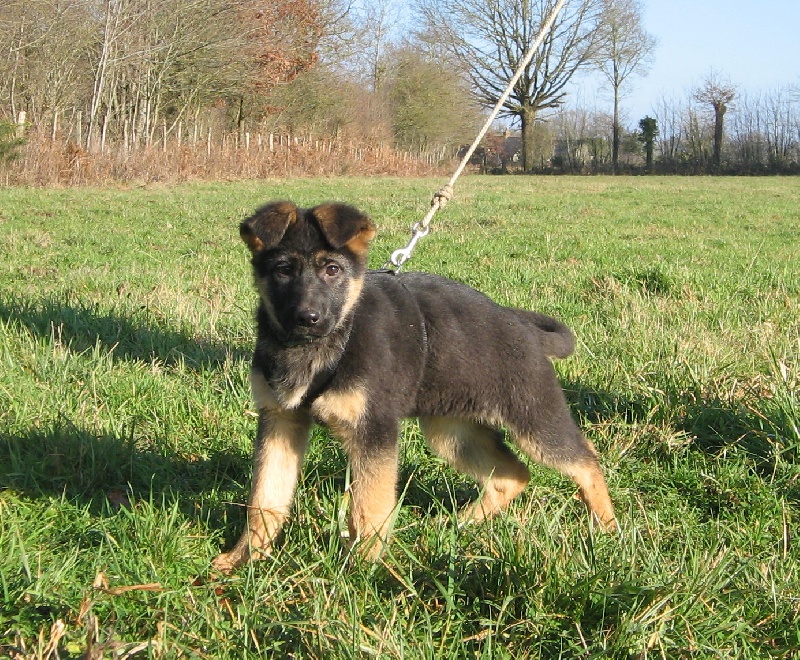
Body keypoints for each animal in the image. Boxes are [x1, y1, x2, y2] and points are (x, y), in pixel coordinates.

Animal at [212, 201, 617, 573]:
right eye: (283, 270)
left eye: (332, 269)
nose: (307, 318)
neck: (333, 341)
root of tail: (525, 329)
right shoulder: (280, 421)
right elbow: (265, 498)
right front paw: (243, 560)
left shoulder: (373, 431)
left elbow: (369, 507)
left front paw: (361, 572)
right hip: (452, 431)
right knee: (512, 475)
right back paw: (459, 524)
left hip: (533, 420)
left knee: (585, 459)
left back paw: (608, 529)